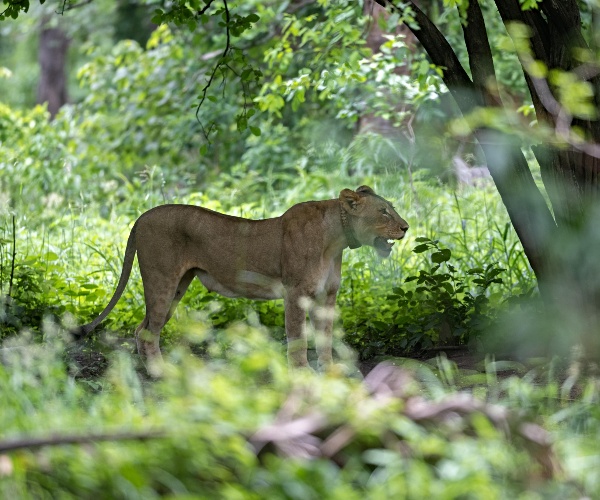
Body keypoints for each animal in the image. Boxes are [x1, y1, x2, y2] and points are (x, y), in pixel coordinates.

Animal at [73, 185, 409, 373]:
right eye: (383, 211)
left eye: (391, 209)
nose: (406, 227)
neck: (336, 239)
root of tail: (141, 217)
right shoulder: (295, 293)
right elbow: (298, 338)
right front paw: (302, 372)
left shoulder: (327, 296)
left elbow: (325, 338)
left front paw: (329, 370)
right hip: (162, 281)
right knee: (146, 332)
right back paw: (160, 372)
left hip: (177, 287)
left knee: (142, 329)